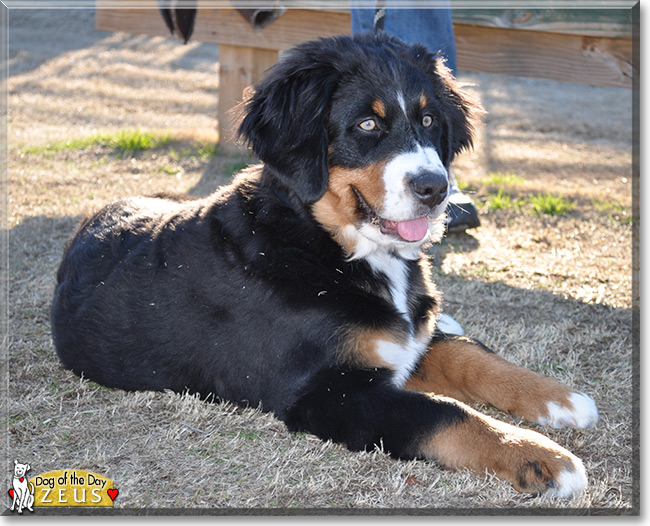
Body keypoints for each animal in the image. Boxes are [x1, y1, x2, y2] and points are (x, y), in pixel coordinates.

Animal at [52, 32, 596, 500]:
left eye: (427, 121)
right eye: (368, 125)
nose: (436, 188)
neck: (330, 246)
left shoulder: (401, 343)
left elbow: (471, 356)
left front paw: (561, 398)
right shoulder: (326, 393)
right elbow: (443, 413)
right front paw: (540, 457)